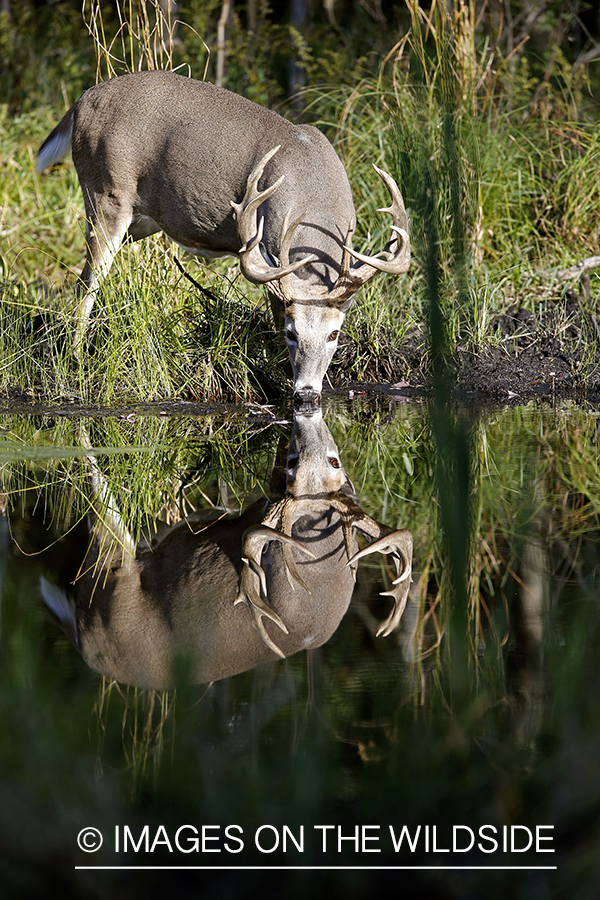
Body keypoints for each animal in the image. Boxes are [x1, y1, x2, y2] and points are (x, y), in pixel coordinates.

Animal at [37, 72, 410, 402]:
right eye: (292, 333)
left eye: (334, 334)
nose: (307, 392)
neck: (315, 197)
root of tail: (82, 101)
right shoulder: (267, 255)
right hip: (106, 193)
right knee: (87, 281)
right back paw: (75, 359)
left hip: (137, 222)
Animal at [41, 408, 412, 688]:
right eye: (296, 463)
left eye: (334, 462)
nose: (308, 437)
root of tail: (85, 644)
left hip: (113, 581)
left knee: (100, 505)